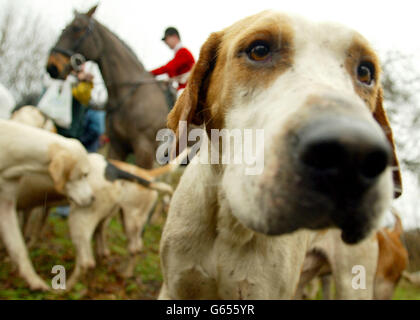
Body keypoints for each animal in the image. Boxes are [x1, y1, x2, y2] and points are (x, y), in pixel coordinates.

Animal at [46, 6, 169, 169]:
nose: (51, 67)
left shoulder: (145, 149)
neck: (129, 97)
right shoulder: (117, 147)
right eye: (63, 29)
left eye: (76, 28)